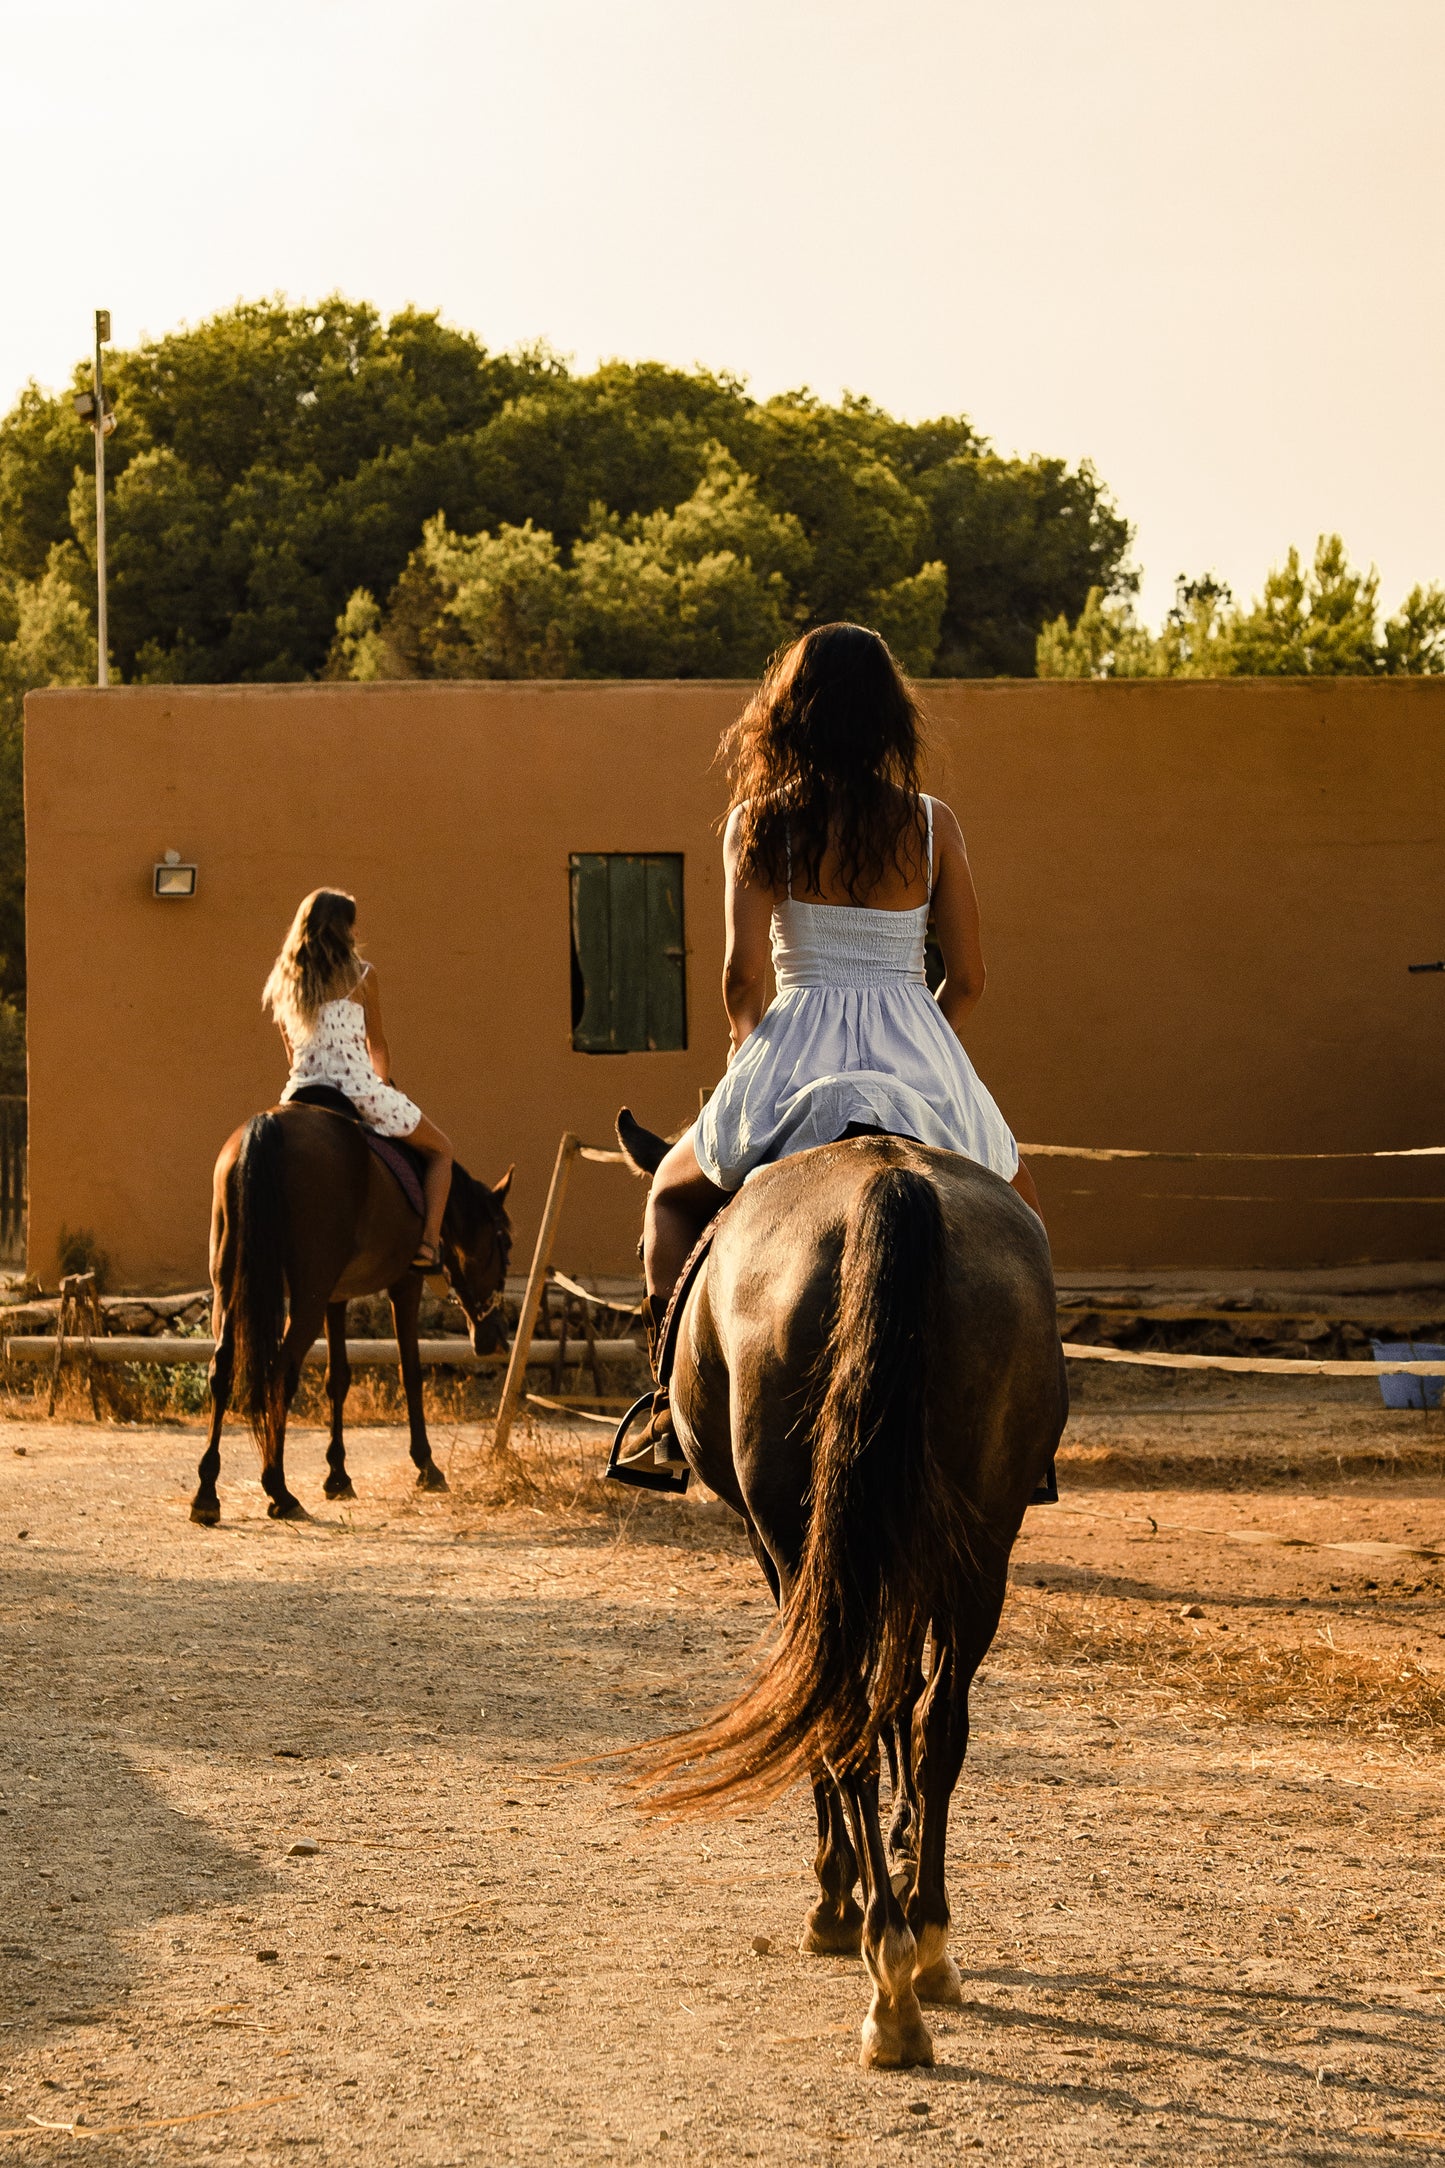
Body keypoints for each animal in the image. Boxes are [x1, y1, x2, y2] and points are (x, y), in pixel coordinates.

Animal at [190, 1104, 513, 1526]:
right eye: (505, 1243)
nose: (497, 1337)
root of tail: (270, 1122)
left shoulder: (335, 1297)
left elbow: (338, 1378)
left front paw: (338, 1475)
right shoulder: (405, 1285)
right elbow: (410, 1372)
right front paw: (426, 1466)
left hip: (231, 1287)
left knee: (222, 1369)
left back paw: (207, 1493)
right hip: (305, 1298)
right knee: (280, 1373)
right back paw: (278, 1488)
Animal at [614, 1112, 1066, 2071]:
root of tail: (884, 1187)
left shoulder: (777, 1548)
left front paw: (840, 1889)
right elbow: (907, 1699)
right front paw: (895, 1848)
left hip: (805, 1545)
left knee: (841, 1711)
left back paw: (879, 1965)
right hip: (978, 1543)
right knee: (937, 1723)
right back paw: (924, 1938)